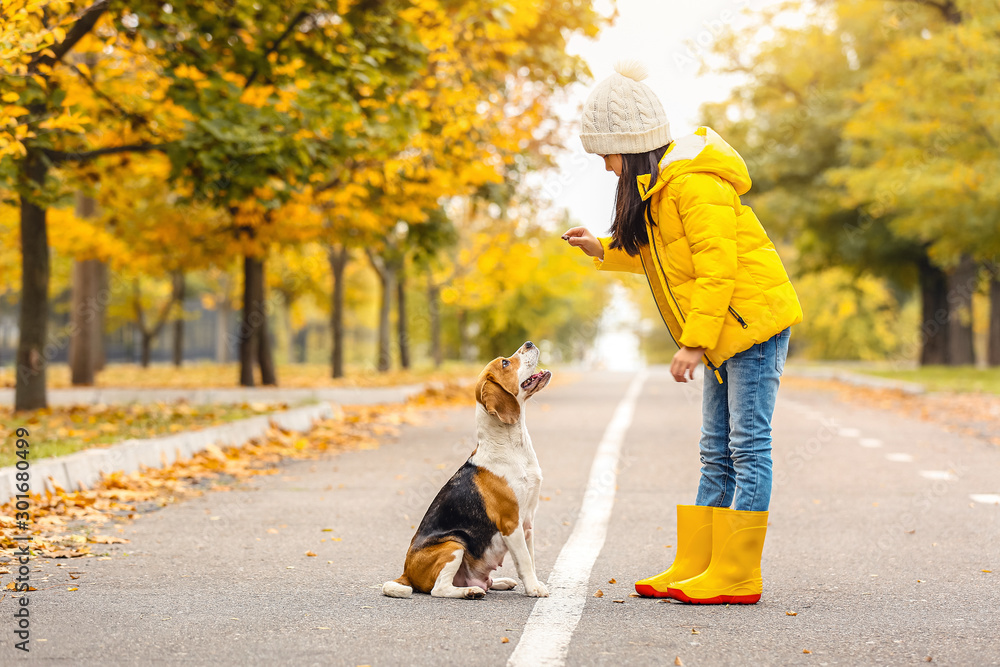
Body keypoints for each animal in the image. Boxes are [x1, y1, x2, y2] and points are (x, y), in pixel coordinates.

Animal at [384, 344, 556, 600]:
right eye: (505, 363)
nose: (528, 343)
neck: (509, 444)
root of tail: (406, 573)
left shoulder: (528, 523)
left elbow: (531, 559)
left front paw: (533, 583)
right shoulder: (511, 524)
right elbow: (525, 560)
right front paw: (534, 589)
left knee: (484, 581)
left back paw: (500, 582)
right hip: (454, 545)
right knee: (439, 589)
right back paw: (470, 591)